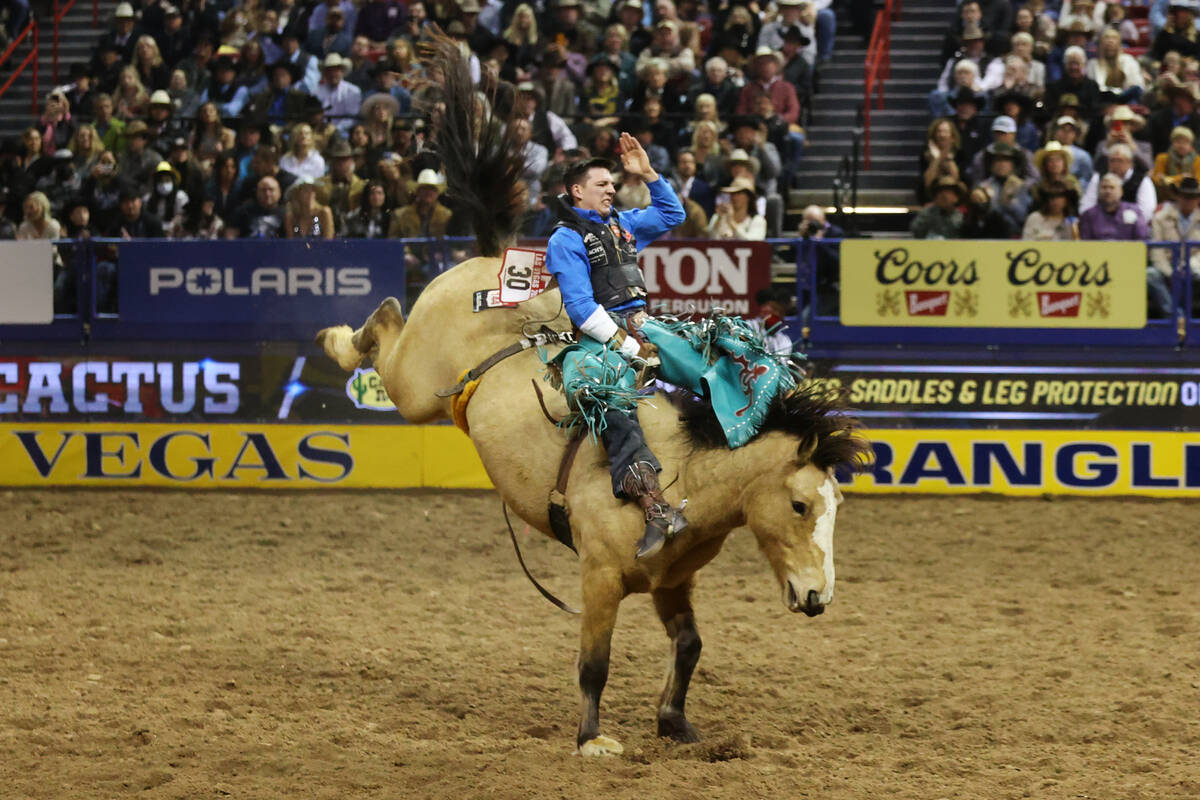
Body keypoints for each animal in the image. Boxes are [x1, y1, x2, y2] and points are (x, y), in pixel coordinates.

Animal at [314, 35, 868, 758]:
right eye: (800, 505)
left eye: (836, 507)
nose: (817, 597)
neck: (687, 475)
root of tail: (490, 256)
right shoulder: (600, 577)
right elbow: (594, 662)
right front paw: (592, 740)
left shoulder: (673, 580)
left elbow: (690, 645)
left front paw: (675, 723)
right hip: (413, 387)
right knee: (383, 327)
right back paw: (335, 338)